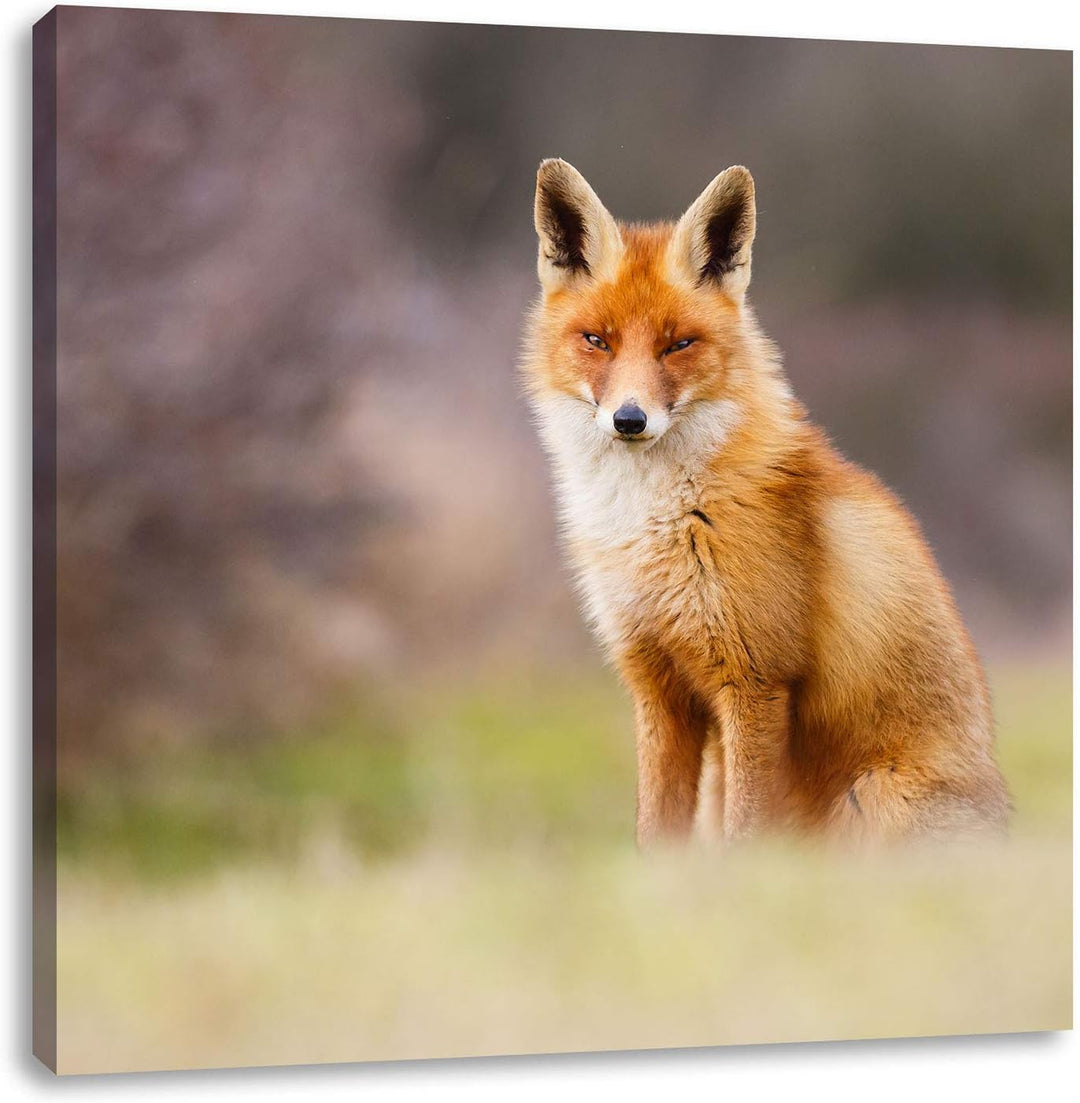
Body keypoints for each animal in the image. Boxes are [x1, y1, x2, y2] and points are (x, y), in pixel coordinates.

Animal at [522, 158, 1010, 847]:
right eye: (597, 340)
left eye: (678, 345)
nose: (629, 419)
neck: (659, 523)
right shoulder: (657, 684)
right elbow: (655, 835)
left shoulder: (754, 681)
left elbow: (744, 837)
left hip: (873, 796)